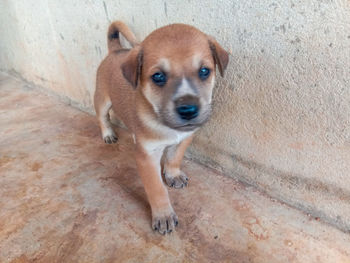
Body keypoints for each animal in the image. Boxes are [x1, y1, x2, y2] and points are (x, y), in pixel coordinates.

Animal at [94, 20, 228, 235]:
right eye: (158, 76)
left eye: (204, 71)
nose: (188, 110)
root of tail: (116, 51)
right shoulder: (147, 156)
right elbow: (156, 189)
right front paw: (163, 215)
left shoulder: (184, 139)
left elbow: (174, 158)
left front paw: (173, 175)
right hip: (102, 99)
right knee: (102, 116)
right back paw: (107, 133)